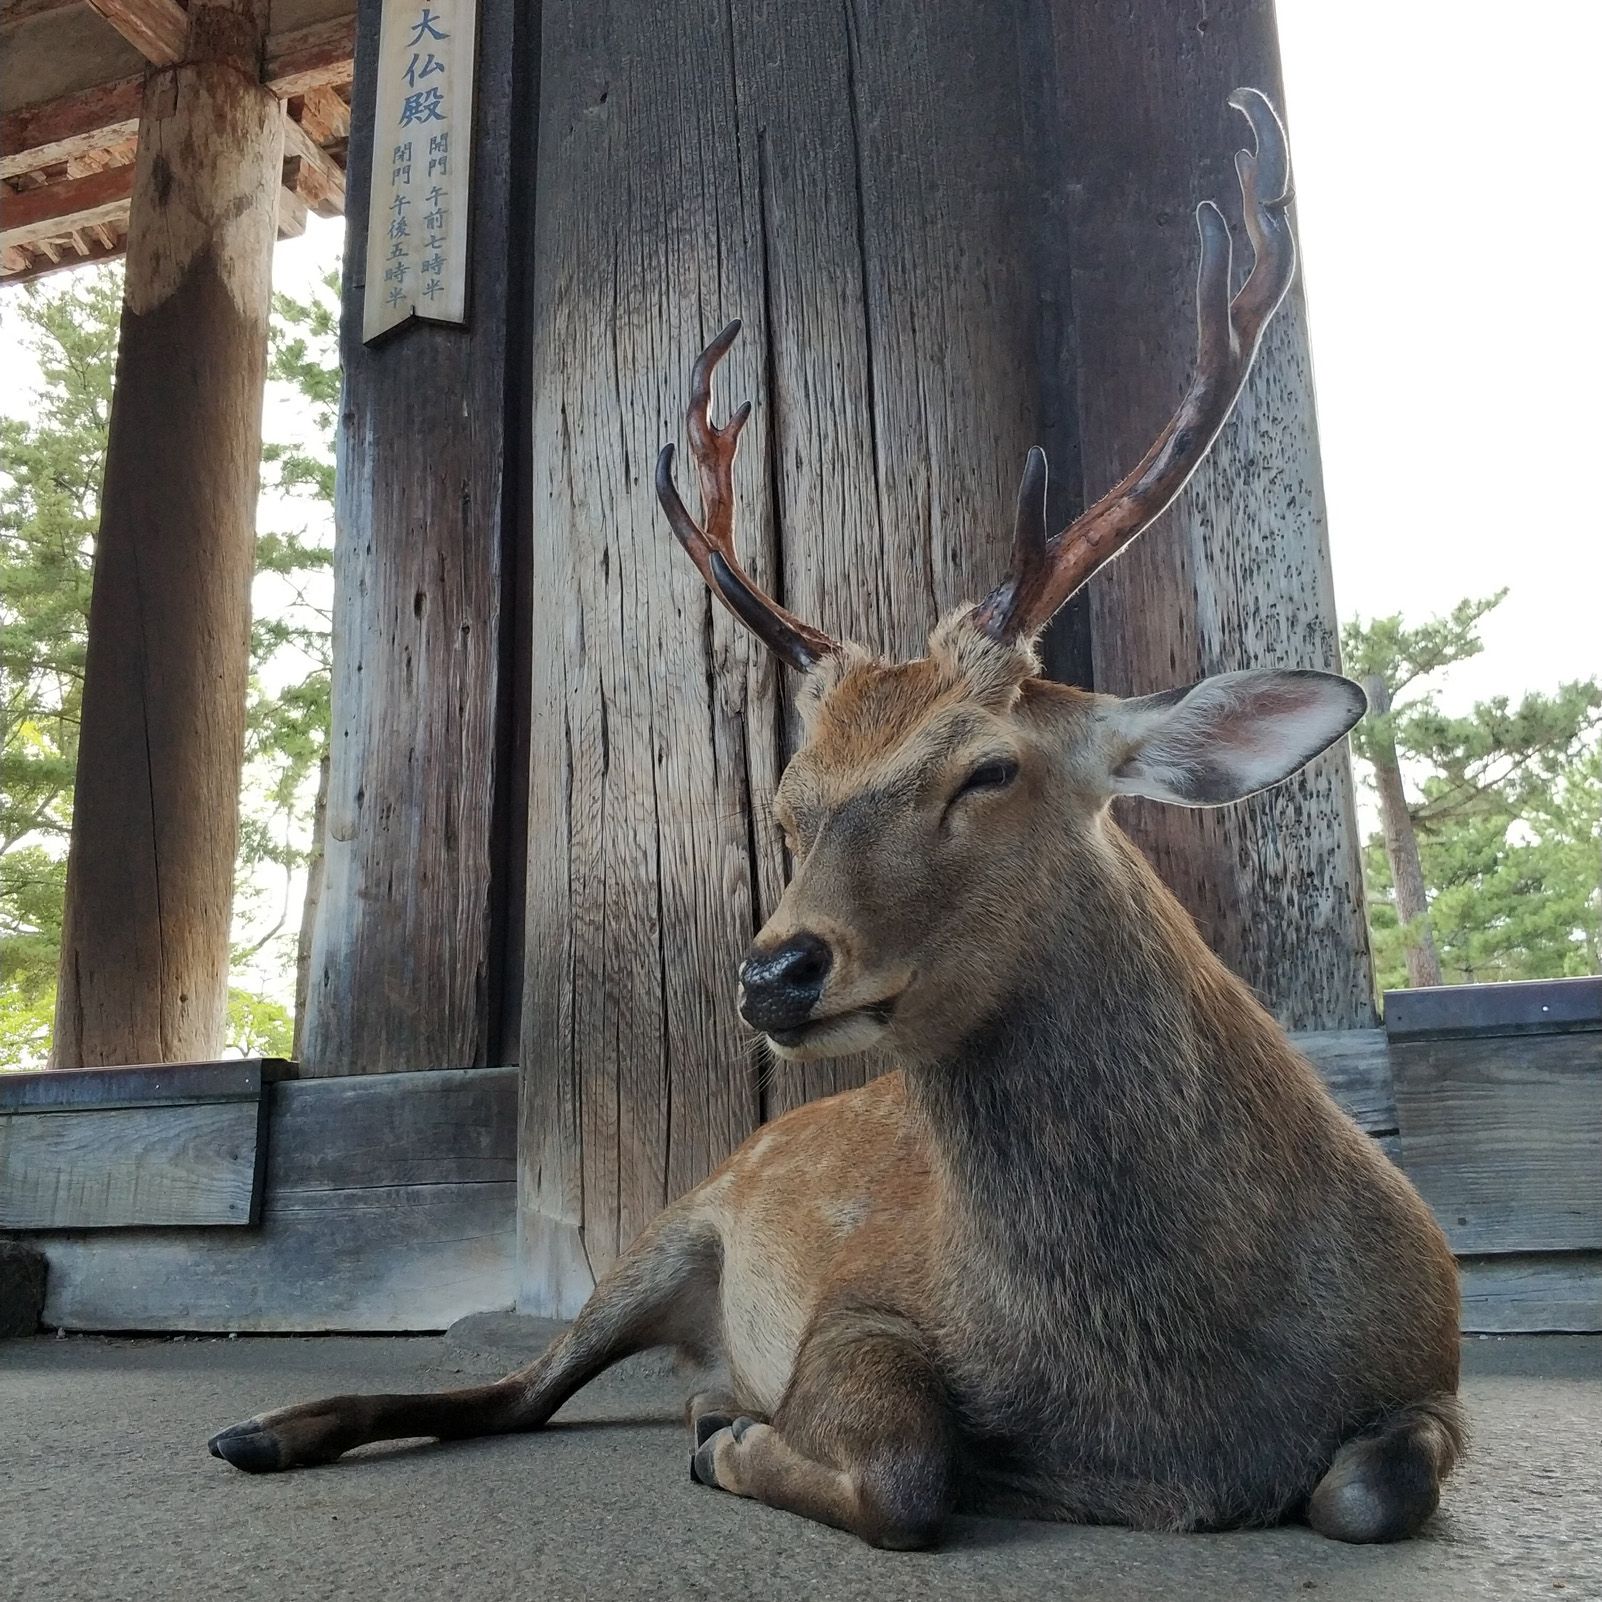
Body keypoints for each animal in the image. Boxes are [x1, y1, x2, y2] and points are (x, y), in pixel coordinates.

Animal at [206, 90, 1461, 1550]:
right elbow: (907, 1469)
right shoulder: (858, 1304)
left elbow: (1370, 1486)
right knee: (517, 1389)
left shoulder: (1435, 1353)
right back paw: (274, 1424)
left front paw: (736, 1435)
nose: (774, 971)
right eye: (790, 803)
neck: (1165, 1408)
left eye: (988, 771)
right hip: (669, 1221)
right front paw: (742, 1443)